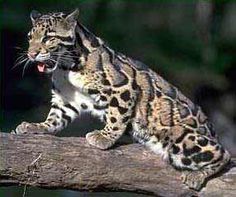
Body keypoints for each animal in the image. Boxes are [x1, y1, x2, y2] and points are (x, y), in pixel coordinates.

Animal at [13, 9, 230, 191]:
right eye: (30, 37)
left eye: (49, 38)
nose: (31, 54)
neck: (66, 67)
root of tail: (212, 130)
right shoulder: (66, 98)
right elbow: (55, 118)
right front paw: (36, 126)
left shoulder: (124, 88)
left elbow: (117, 117)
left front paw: (104, 138)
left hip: (182, 138)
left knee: (224, 154)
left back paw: (197, 175)